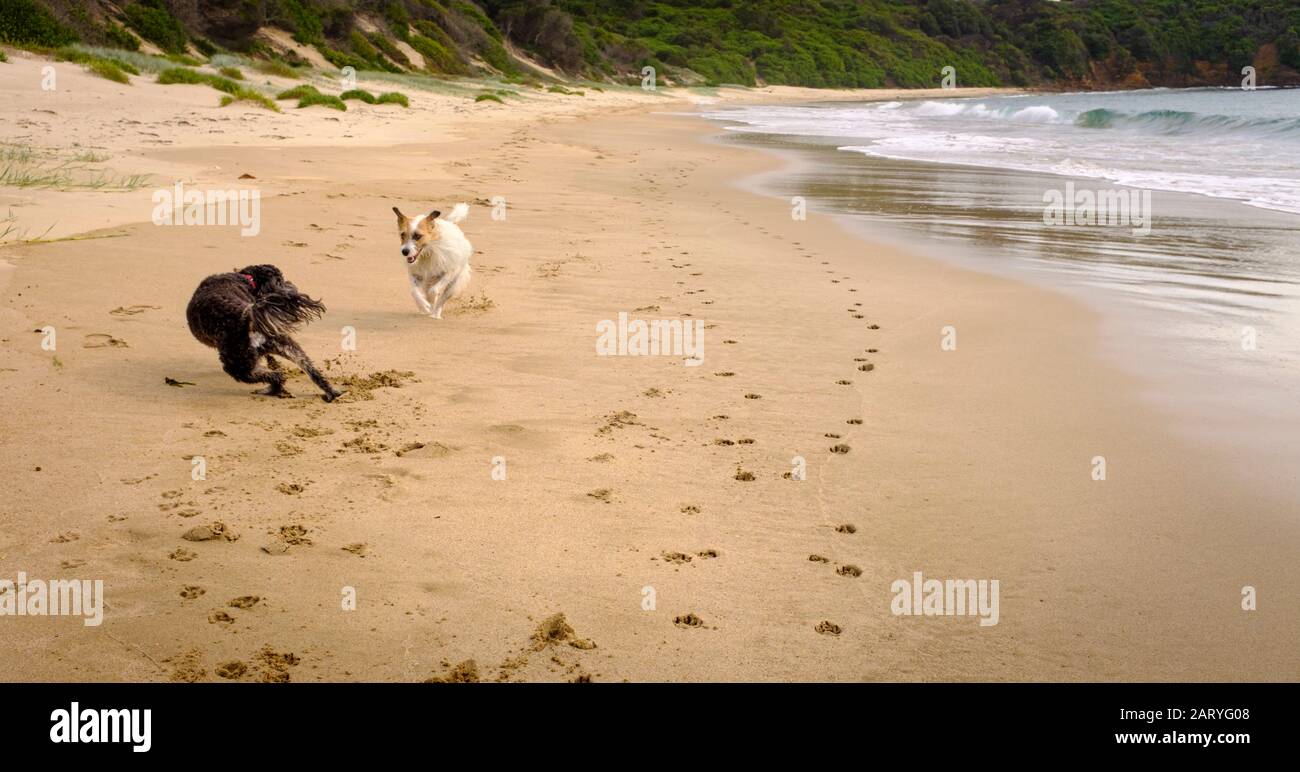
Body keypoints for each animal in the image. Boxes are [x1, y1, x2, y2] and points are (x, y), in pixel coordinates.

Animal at [188, 261, 343, 400]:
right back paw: (332, 393)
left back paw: (271, 390)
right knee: (310, 369)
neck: (247, 279)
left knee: (274, 376)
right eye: (280, 281)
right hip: (285, 344)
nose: (289, 286)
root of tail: (247, 317)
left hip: (236, 364)